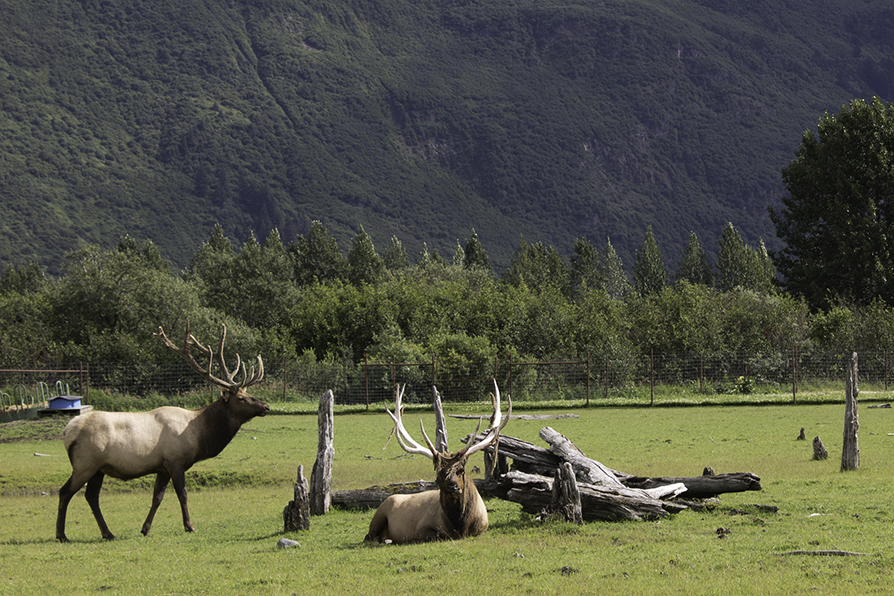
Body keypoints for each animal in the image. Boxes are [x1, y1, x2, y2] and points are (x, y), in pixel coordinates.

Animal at [53, 324, 266, 544]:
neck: (199, 434)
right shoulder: (175, 459)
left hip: (98, 468)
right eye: (241, 398)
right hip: (85, 463)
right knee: (65, 492)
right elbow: (182, 493)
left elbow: (157, 497)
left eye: (248, 394)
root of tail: (68, 431)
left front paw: (145, 529)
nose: (266, 406)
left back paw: (107, 533)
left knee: (91, 496)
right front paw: (189, 526)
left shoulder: (162, 467)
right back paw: (62, 535)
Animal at [362, 382, 512, 544]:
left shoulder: (483, 528)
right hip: (380, 513)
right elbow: (436, 536)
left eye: (461, 471)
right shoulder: (422, 529)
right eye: (439, 474)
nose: (454, 487)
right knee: (368, 537)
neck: (460, 528)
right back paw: (385, 539)